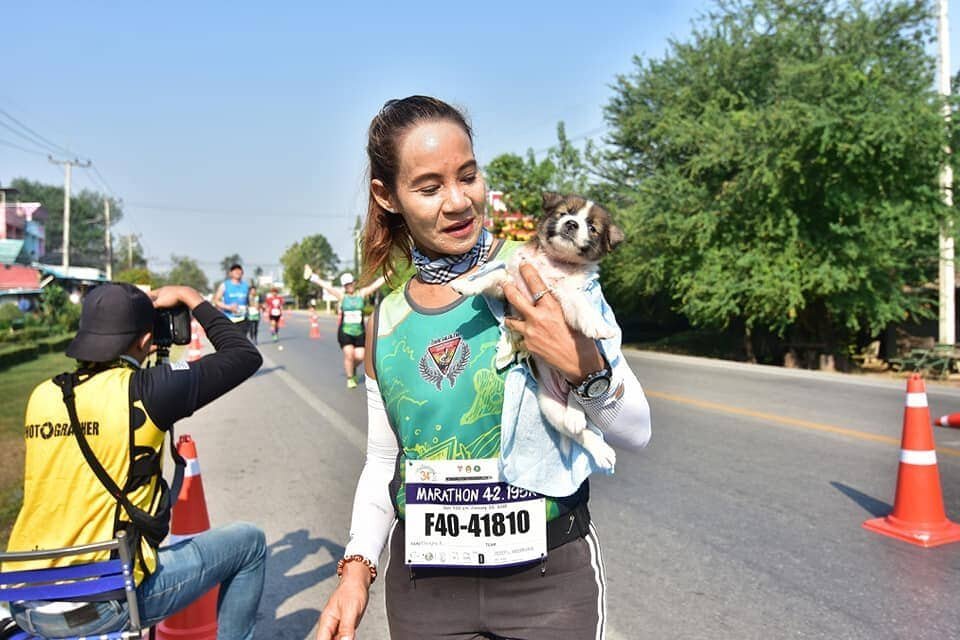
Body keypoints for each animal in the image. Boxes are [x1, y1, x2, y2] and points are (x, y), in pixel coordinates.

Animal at [454, 191, 628, 470]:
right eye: (564, 213)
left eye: (592, 227)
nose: (571, 224)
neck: (554, 262)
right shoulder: (509, 284)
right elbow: (493, 277)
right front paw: (467, 284)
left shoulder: (565, 293)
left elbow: (577, 300)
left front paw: (596, 323)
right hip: (549, 407)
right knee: (577, 430)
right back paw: (590, 439)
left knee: (579, 402)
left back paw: (589, 431)